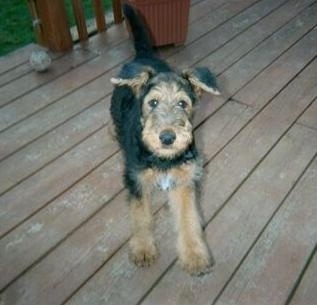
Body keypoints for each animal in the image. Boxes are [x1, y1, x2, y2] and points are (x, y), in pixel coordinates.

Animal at [110, 4, 218, 276]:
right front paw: (143, 250)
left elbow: (189, 219)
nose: (168, 137)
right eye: (153, 102)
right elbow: (141, 217)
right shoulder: (136, 181)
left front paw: (194, 256)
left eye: (183, 103)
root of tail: (143, 56)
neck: (163, 159)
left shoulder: (185, 181)